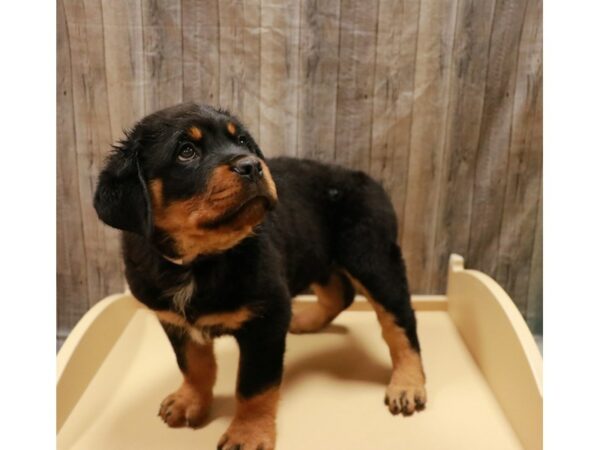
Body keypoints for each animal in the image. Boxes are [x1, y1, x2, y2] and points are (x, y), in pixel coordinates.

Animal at [92, 103, 426, 450]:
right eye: (186, 152)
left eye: (242, 141)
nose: (252, 165)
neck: (198, 261)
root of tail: (369, 180)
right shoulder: (174, 321)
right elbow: (193, 366)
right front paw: (189, 401)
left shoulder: (267, 319)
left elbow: (254, 387)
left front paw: (247, 434)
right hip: (313, 252)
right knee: (339, 293)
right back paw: (305, 320)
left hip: (371, 257)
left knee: (400, 321)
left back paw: (407, 385)